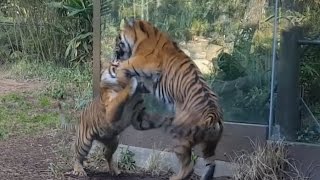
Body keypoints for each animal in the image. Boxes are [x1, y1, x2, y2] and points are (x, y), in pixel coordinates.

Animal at [104, 18, 222, 180]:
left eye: (117, 39)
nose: (113, 54)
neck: (144, 36)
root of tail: (213, 115)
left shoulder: (138, 63)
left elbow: (123, 68)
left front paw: (121, 80)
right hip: (209, 146)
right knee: (211, 164)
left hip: (179, 139)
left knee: (189, 167)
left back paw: (175, 177)